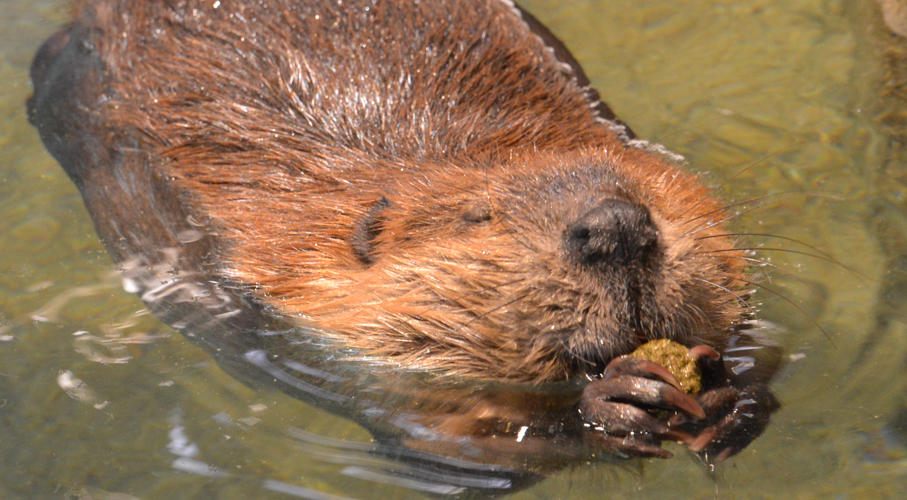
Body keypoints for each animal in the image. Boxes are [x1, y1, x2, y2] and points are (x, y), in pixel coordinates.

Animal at [30, 0, 780, 464]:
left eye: (646, 196)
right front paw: (618, 398)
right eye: (479, 217)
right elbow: (440, 429)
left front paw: (729, 388)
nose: (616, 228)